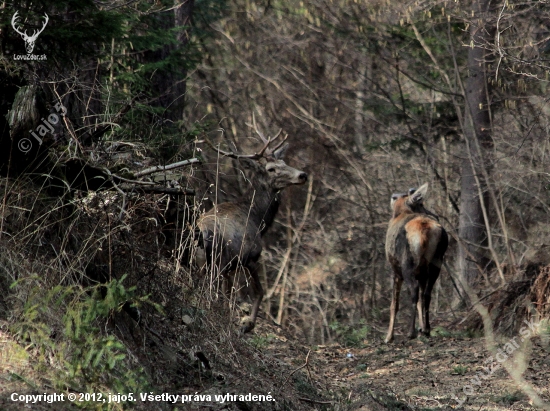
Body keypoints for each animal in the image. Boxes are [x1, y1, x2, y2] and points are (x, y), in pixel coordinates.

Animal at [201, 130, 308, 334]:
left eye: (284, 162)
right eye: (271, 169)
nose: (302, 175)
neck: (257, 220)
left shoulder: (230, 268)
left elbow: (229, 293)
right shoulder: (250, 256)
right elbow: (259, 292)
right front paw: (248, 323)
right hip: (216, 263)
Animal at [386, 184, 450, 344]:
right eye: (421, 204)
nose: (435, 215)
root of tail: (425, 229)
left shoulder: (395, 270)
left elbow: (394, 304)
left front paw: (389, 337)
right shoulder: (422, 272)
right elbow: (422, 298)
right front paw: (422, 327)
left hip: (407, 264)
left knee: (414, 291)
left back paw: (411, 332)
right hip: (436, 262)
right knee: (426, 294)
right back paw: (426, 330)